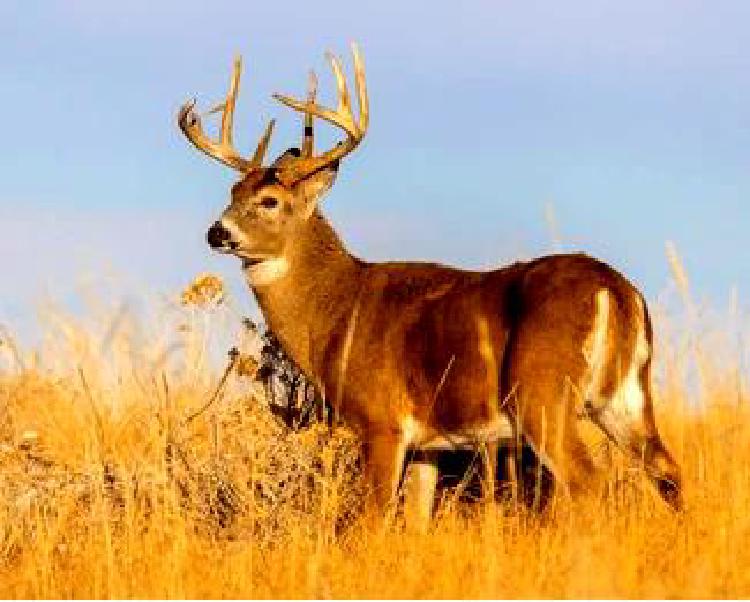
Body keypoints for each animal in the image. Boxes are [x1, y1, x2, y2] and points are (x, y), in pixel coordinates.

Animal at [179, 43, 684, 520]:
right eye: (232, 193)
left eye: (269, 200)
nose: (217, 232)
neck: (337, 309)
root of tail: (616, 291)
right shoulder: (429, 443)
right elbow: (417, 519)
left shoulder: (382, 420)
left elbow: (375, 518)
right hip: (625, 395)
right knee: (667, 471)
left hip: (543, 391)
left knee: (586, 480)